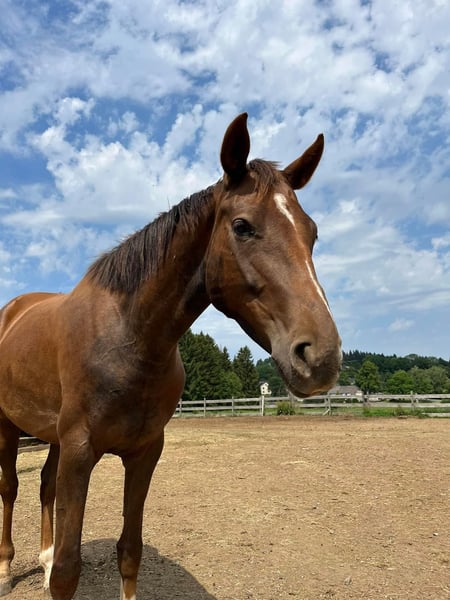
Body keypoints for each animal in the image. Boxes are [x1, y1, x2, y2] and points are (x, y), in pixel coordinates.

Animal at [0, 113, 341, 600]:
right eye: (242, 226)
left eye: (311, 233)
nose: (321, 356)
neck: (129, 339)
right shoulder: (80, 452)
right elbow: (68, 570)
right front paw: (51, 569)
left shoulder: (144, 453)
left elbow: (129, 552)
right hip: (9, 427)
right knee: (10, 489)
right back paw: (7, 568)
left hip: (51, 437)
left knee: (44, 486)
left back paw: (41, 558)